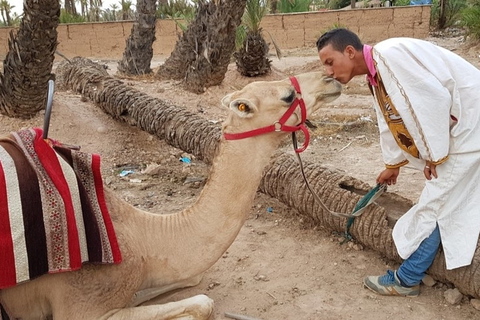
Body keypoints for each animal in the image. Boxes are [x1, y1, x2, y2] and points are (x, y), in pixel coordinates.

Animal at [0, 71, 342, 318]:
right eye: (288, 96)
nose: (332, 79)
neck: (144, 236)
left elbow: (193, 282)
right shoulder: (82, 304)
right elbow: (203, 302)